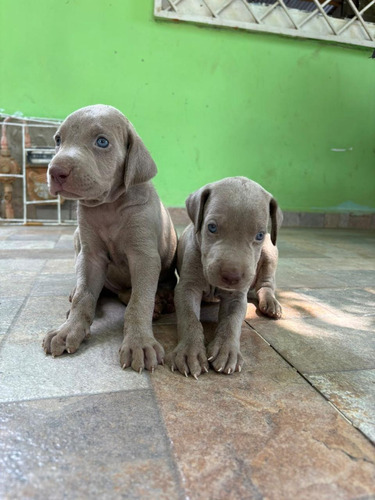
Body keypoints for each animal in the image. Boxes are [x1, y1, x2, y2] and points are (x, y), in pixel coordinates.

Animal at [42, 104, 178, 372]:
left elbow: (139, 301)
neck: (108, 207)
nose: (55, 171)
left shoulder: (144, 257)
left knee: (136, 293)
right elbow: (85, 296)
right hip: (77, 238)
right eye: (58, 140)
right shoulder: (90, 255)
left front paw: (139, 343)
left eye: (102, 142)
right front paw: (68, 331)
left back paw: (162, 300)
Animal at [169, 178, 284, 376]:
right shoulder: (187, 288)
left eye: (259, 235)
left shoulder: (236, 296)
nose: (232, 276)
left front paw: (226, 350)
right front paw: (190, 351)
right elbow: (189, 318)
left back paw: (271, 303)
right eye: (211, 227)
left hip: (270, 250)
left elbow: (232, 322)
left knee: (266, 284)